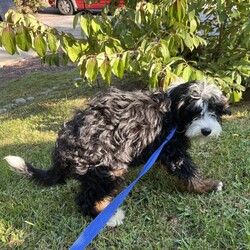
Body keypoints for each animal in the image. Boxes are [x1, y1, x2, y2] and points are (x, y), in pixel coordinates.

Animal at [4, 80, 230, 227]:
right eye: (194, 112)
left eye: (214, 110)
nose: (207, 130)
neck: (172, 111)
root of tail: (63, 145)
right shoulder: (172, 147)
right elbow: (188, 170)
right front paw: (207, 186)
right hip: (107, 165)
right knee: (86, 197)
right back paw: (107, 216)